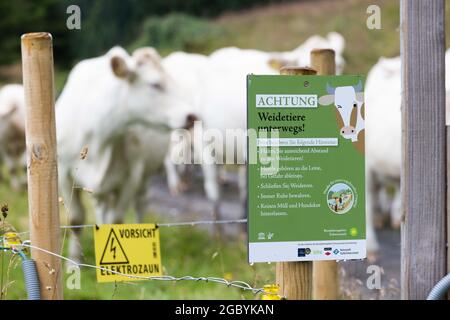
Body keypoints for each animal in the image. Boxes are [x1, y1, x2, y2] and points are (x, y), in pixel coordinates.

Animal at [56, 46, 197, 262]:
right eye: (155, 84)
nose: (192, 116)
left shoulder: (130, 178)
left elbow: (116, 221)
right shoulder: (64, 173)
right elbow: (76, 219)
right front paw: (73, 263)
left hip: (144, 176)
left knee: (140, 203)